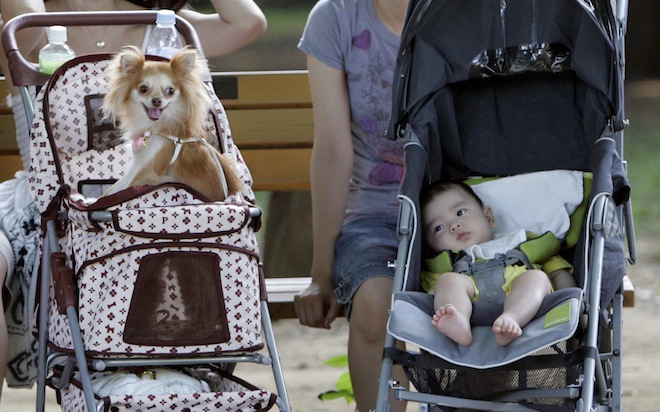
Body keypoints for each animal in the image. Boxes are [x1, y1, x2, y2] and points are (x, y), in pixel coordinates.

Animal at [104, 45, 244, 201]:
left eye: (170, 90)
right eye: (143, 89)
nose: (157, 100)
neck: (154, 128)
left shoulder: (150, 166)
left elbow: (126, 186)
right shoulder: (139, 162)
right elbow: (114, 188)